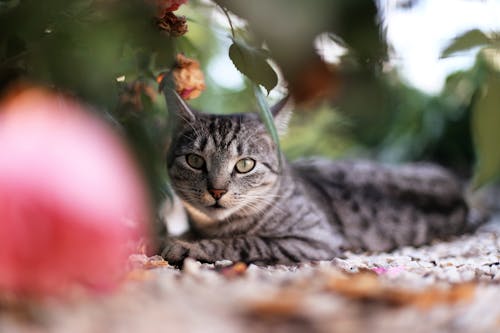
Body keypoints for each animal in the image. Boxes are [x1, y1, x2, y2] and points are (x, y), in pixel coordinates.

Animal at [160, 92, 480, 266]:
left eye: (245, 165)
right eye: (195, 160)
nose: (217, 190)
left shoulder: (313, 239)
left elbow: (243, 241)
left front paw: (188, 246)